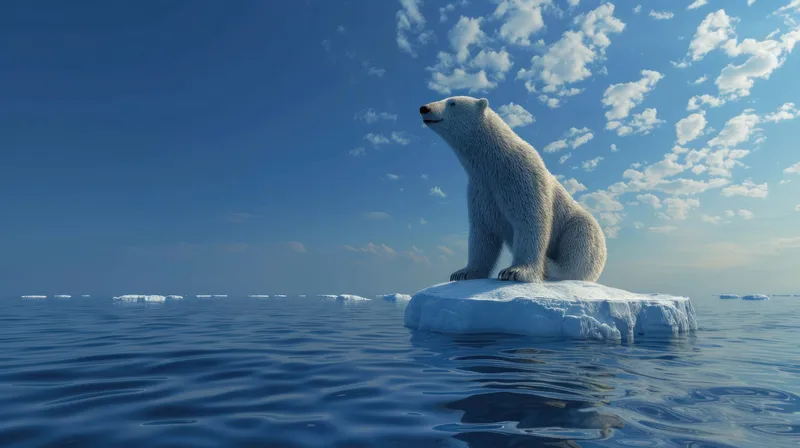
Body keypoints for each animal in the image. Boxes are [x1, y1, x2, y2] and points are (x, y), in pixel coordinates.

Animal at [419, 95, 607, 283]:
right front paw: (463, 273)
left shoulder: (522, 176)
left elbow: (531, 220)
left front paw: (515, 271)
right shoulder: (481, 188)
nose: (424, 108)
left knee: (580, 243)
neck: (494, 161)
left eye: (452, 103)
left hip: (578, 224)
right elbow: (483, 232)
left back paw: (551, 266)